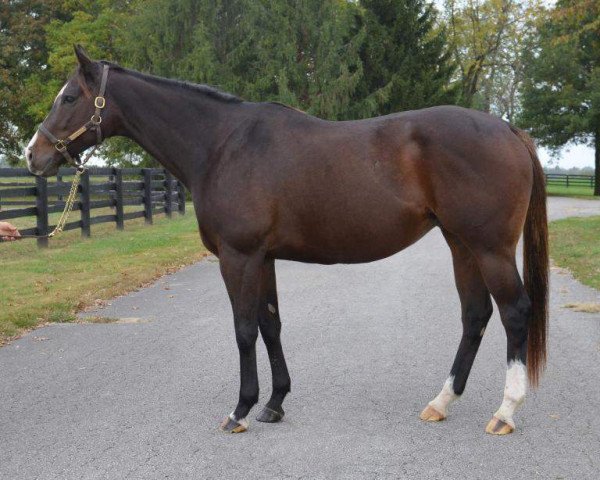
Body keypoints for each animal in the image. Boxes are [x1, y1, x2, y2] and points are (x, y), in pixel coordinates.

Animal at [25, 47, 548, 436]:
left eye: (68, 97)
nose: (34, 155)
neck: (222, 144)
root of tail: (508, 129)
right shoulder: (264, 258)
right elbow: (271, 325)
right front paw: (274, 404)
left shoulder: (238, 257)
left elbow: (243, 330)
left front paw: (239, 410)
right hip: (461, 244)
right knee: (475, 315)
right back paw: (441, 402)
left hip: (489, 248)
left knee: (514, 311)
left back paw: (504, 412)